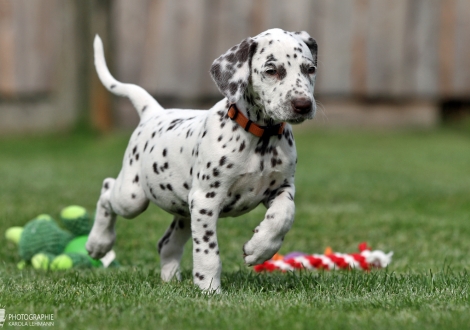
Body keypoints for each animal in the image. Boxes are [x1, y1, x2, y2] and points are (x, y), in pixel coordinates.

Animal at [86, 27, 318, 292]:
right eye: (271, 70)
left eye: (310, 69)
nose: (303, 105)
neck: (261, 137)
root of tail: (153, 112)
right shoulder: (206, 199)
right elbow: (208, 251)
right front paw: (209, 287)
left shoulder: (281, 188)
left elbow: (284, 215)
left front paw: (259, 248)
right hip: (133, 197)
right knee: (107, 191)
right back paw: (98, 243)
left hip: (183, 210)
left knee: (166, 243)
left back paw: (169, 278)